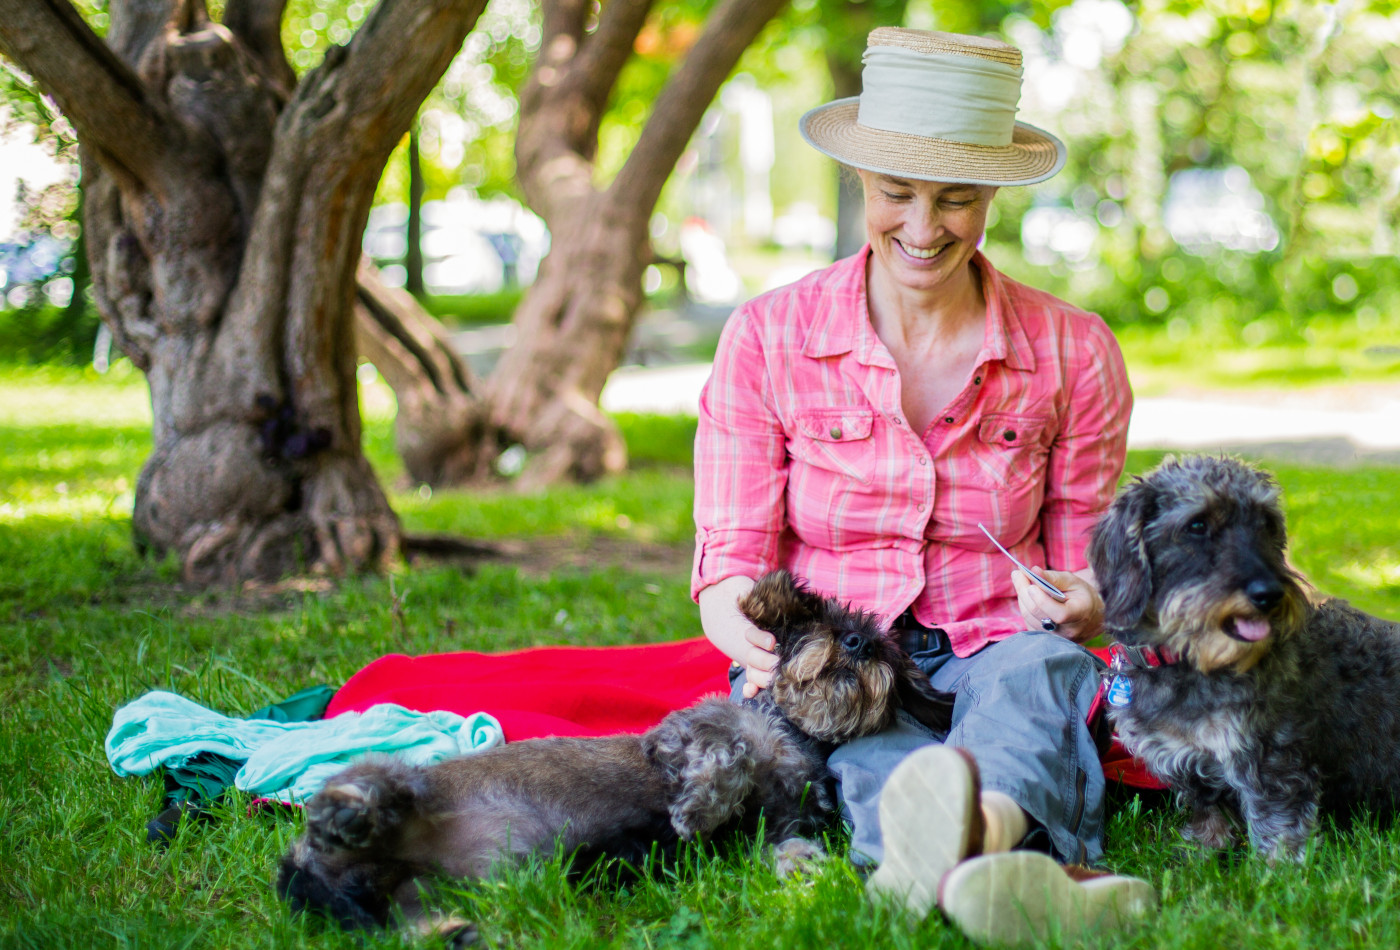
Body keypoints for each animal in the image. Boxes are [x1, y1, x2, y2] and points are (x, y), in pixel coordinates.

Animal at [275, 573, 952, 934]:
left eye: (888, 651)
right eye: (823, 624)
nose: (860, 644)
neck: (792, 733)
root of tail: (313, 869)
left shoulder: (782, 820)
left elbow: (787, 843)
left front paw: (810, 873)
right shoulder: (685, 737)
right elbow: (725, 756)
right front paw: (699, 809)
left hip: (422, 893)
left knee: (406, 919)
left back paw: (453, 932)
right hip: (395, 783)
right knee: (356, 791)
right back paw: (347, 810)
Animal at [1086, 456, 1400, 861]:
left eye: (1266, 522)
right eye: (1197, 524)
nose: (1269, 594)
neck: (1187, 660)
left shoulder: (1271, 757)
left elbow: (1278, 821)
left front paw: (1279, 868)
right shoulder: (1188, 760)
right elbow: (1207, 807)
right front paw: (1205, 849)